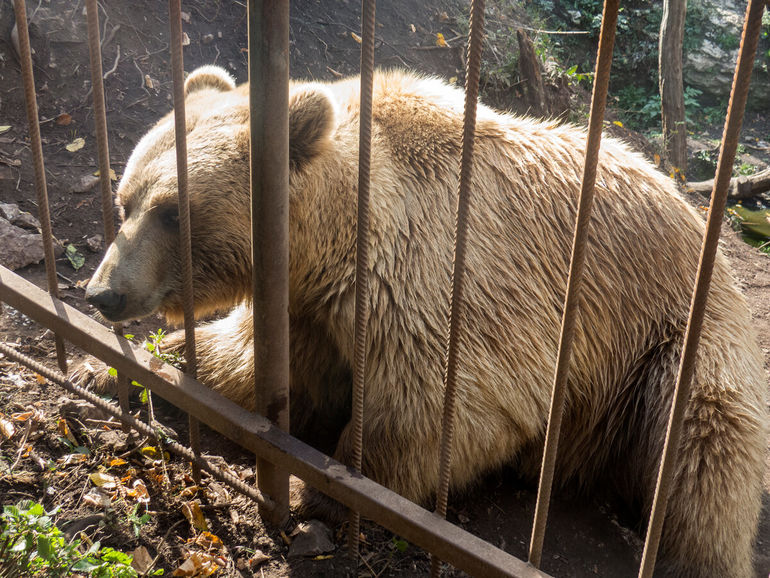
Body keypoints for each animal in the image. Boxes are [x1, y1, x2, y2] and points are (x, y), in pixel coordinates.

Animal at [81, 65, 764, 572]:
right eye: (126, 200)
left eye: (172, 211)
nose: (102, 293)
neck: (334, 242)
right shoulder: (311, 309)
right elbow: (257, 365)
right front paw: (107, 367)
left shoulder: (446, 281)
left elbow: (441, 405)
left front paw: (321, 491)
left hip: (677, 342)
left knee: (705, 454)